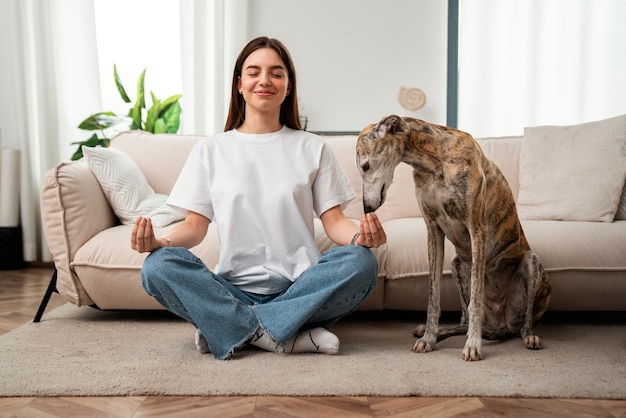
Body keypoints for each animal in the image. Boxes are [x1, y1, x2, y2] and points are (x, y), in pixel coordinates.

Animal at [356, 114, 552, 360]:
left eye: (366, 165)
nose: (366, 209)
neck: (434, 162)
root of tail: (501, 327)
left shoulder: (476, 229)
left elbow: (476, 300)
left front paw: (473, 345)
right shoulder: (433, 231)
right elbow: (433, 297)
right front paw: (429, 338)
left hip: (531, 264)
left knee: (523, 322)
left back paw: (528, 336)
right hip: (456, 263)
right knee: (463, 319)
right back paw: (436, 331)